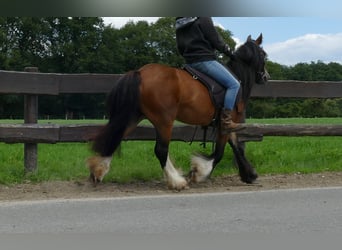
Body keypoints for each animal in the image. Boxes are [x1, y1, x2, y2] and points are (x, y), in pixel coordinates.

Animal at [87, 33, 268, 189]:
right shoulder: (224, 125)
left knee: (115, 137)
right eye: (264, 54)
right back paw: (176, 181)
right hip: (164, 120)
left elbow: (238, 148)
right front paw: (199, 173)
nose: (266, 77)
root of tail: (140, 72)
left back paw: (98, 171)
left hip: (134, 116)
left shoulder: (228, 125)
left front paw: (249, 175)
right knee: (161, 150)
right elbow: (219, 153)